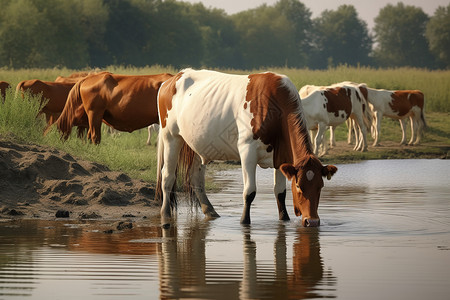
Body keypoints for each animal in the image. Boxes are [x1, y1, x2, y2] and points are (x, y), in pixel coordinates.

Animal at [156, 68, 336, 227]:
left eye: (320, 186)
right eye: (299, 186)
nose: (312, 221)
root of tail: (174, 78)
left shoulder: (281, 157)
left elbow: (280, 192)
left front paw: (284, 219)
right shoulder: (247, 151)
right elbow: (249, 192)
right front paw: (244, 221)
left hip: (196, 143)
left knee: (195, 178)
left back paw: (210, 210)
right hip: (171, 136)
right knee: (167, 176)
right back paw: (165, 214)